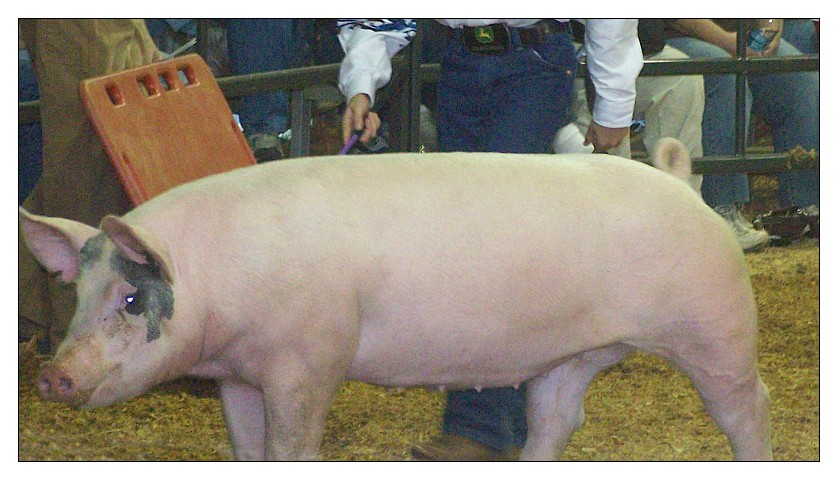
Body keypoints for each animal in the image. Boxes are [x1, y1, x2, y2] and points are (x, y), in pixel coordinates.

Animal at [20, 138, 772, 460]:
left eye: (131, 299)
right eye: (78, 292)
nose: (54, 374)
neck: (221, 276)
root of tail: (681, 180)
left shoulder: (309, 362)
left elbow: (293, 447)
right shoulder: (238, 377)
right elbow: (246, 447)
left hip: (716, 324)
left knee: (748, 407)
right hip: (572, 355)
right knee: (558, 421)